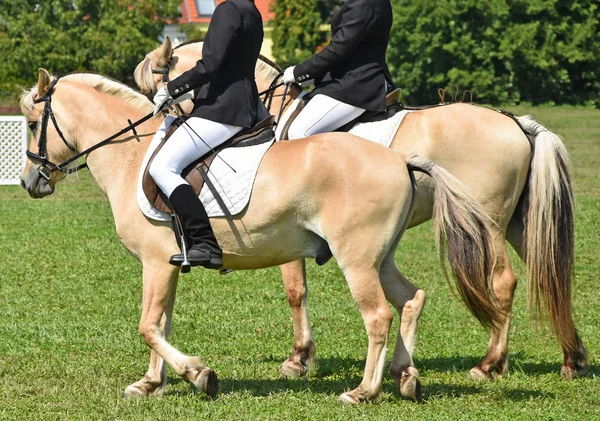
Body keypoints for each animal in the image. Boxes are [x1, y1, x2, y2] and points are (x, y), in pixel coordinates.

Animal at [18, 69, 500, 404]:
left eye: (31, 123)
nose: (28, 182)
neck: (132, 157)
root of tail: (399, 159)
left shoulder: (155, 263)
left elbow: (147, 326)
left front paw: (199, 374)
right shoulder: (166, 265)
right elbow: (161, 323)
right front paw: (151, 382)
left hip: (357, 258)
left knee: (379, 315)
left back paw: (365, 391)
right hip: (380, 258)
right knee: (411, 299)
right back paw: (407, 377)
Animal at [134, 37, 588, 378]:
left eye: (155, 85)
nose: (159, 126)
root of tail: (513, 121)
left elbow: (295, 291)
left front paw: (298, 358)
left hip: (487, 224)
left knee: (505, 282)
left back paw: (489, 364)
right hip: (516, 223)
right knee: (551, 272)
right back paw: (571, 359)